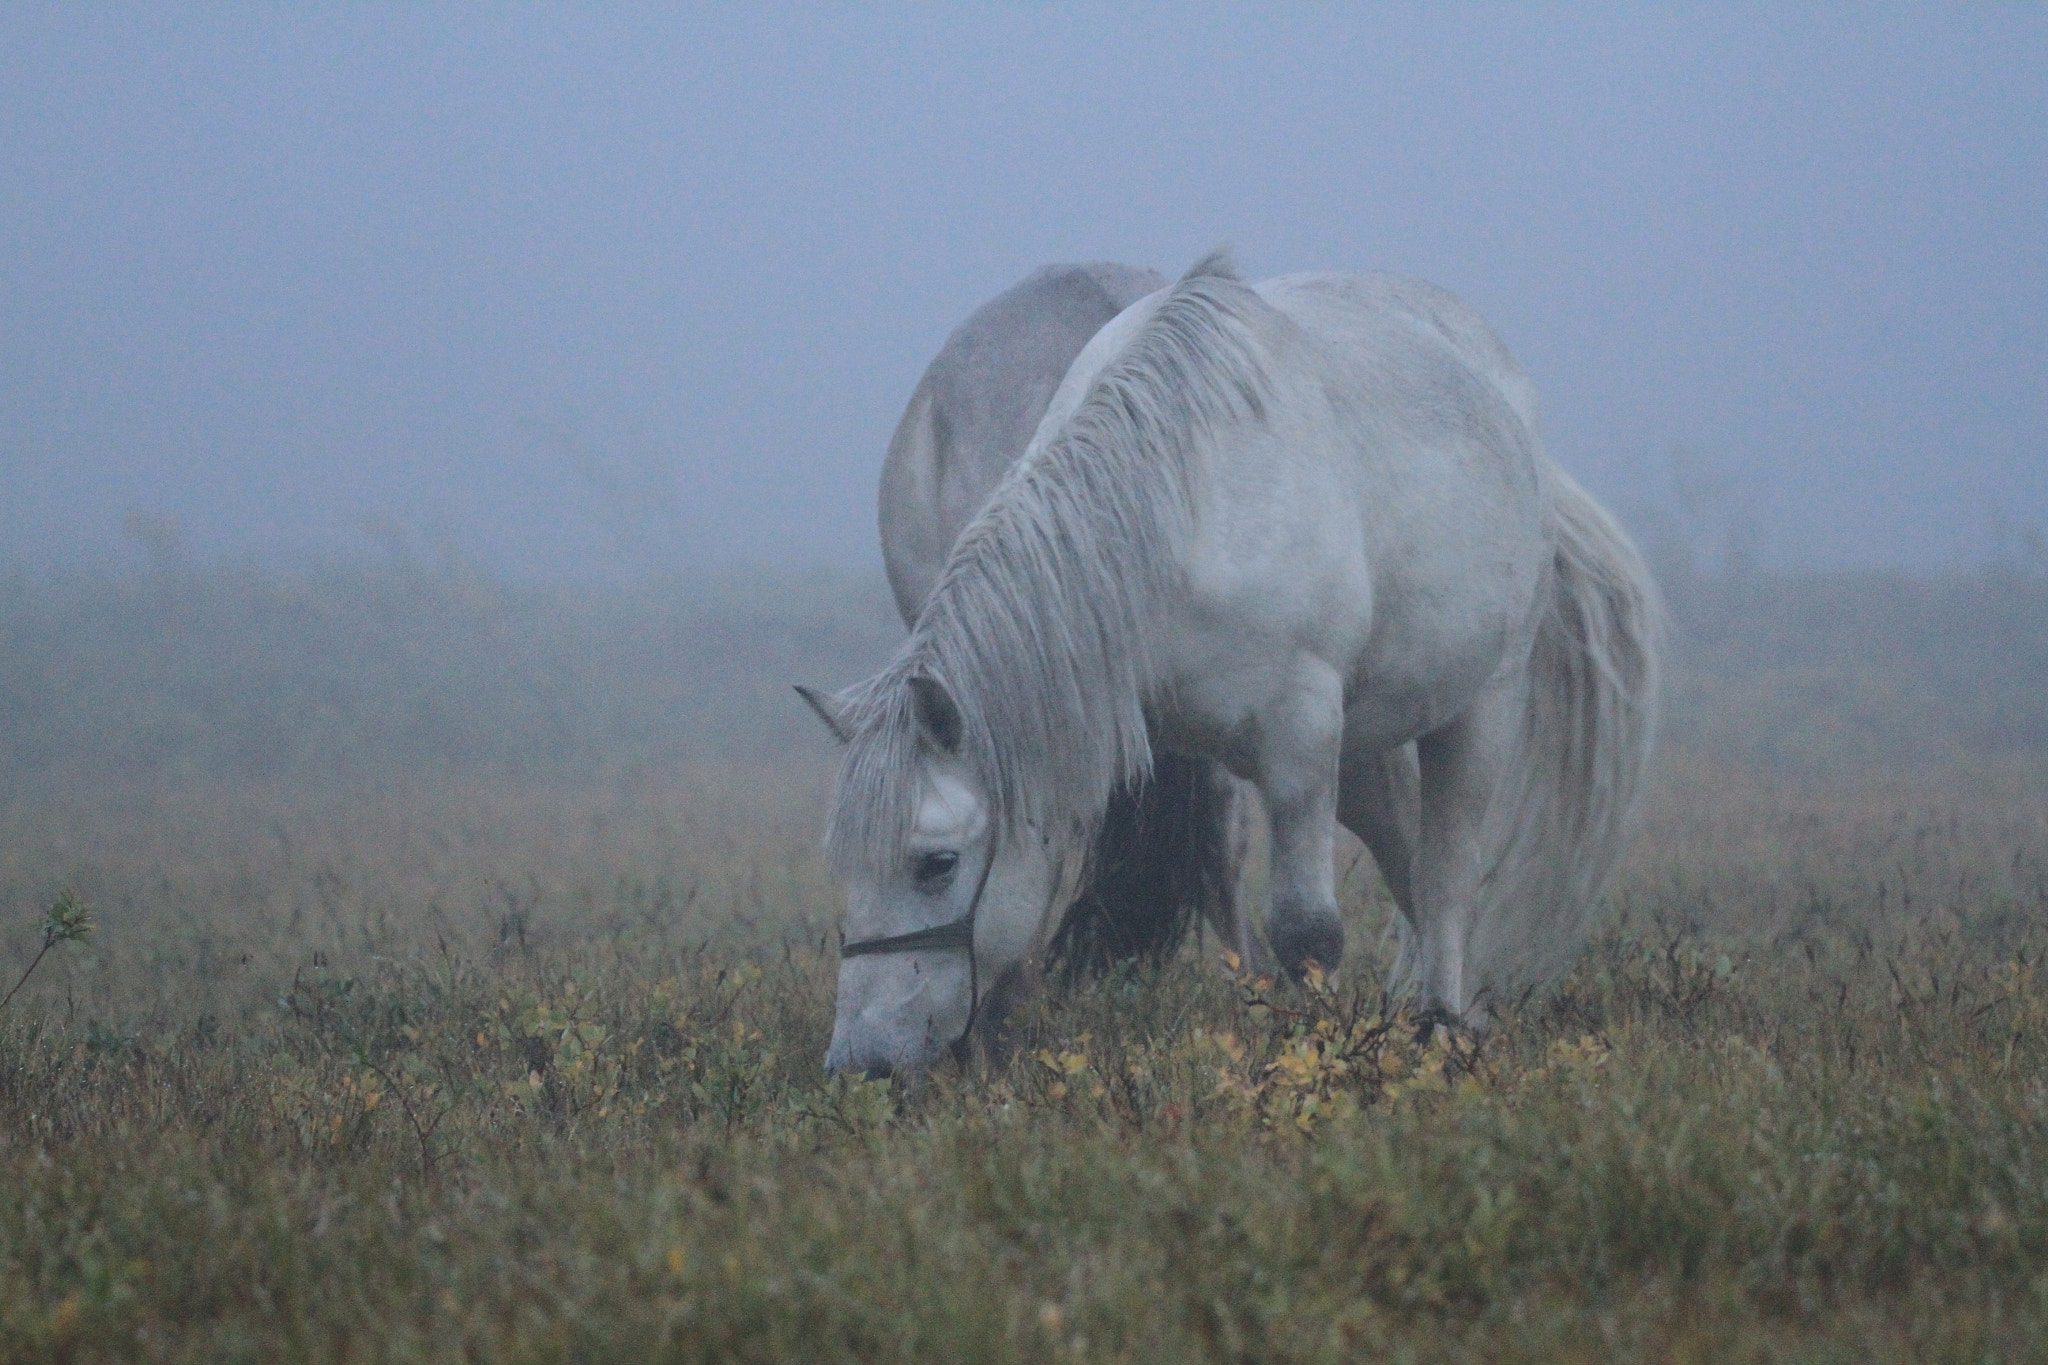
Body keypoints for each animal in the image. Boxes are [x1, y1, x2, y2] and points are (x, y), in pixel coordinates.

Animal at [802, 253, 1662, 1080]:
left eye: (936, 863)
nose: (861, 1061)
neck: (1175, 509)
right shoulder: (1080, 726)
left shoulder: (1300, 735)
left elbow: (1307, 929)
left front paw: (1314, 1055)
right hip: (1367, 747)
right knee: (1409, 856)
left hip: (1479, 706)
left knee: (1448, 871)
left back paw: (1443, 1024)